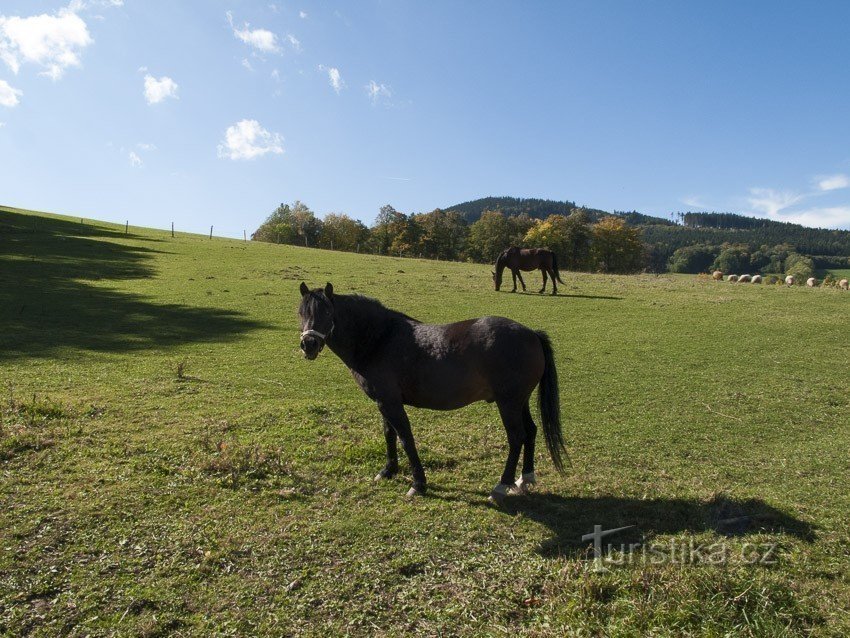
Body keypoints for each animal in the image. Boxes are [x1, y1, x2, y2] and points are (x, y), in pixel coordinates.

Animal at [298, 282, 564, 508]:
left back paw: (501, 486)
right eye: (301, 312)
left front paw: (418, 484)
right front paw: (388, 471)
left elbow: (405, 438)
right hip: (519, 401)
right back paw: (525, 478)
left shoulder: (390, 403)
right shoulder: (384, 401)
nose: (308, 344)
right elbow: (389, 434)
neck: (380, 339)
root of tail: (531, 334)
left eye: (328, 313)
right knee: (531, 431)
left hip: (508, 403)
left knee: (517, 437)